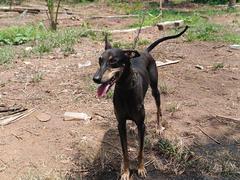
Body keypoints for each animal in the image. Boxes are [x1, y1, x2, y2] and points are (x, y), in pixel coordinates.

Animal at [93, 26, 188, 179]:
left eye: (113, 61)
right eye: (100, 60)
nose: (95, 79)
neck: (125, 89)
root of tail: (144, 52)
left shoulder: (142, 125)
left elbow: (140, 151)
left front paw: (141, 168)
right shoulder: (120, 124)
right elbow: (125, 152)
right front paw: (126, 172)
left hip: (155, 90)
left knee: (158, 109)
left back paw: (158, 127)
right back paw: (132, 126)